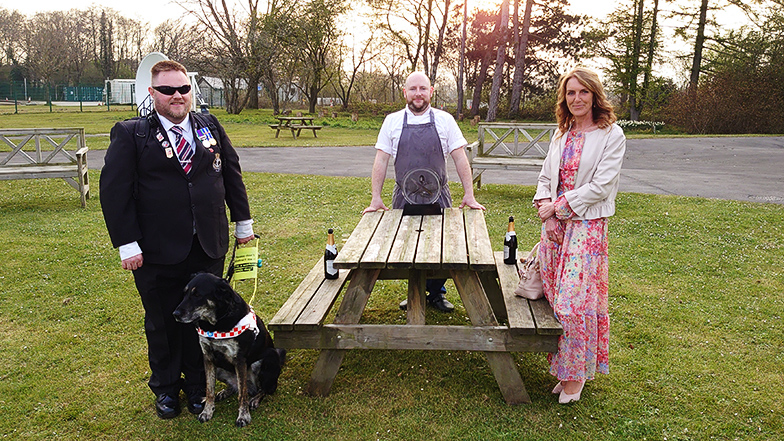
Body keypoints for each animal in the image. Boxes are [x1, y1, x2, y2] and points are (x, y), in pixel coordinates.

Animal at [172, 272, 284, 426]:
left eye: (197, 295)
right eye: (185, 293)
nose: (175, 314)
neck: (216, 324)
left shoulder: (240, 360)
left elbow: (242, 395)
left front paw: (243, 416)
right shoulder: (208, 357)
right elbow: (209, 389)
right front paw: (207, 411)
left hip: (267, 359)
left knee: (264, 389)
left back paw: (255, 399)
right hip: (219, 367)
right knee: (235, 387)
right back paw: (223, 392)